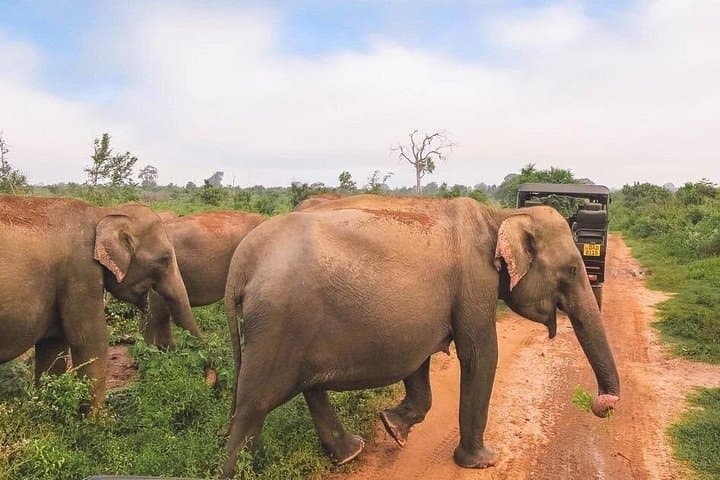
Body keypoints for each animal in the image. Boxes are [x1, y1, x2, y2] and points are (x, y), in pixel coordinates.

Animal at [0, 195, 199, 409]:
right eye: (165, 259)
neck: (103, 213)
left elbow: (54, 349)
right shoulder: (81, 273)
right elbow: (91, 342)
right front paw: (98, 417)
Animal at [221, 194, 620, 477]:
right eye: (572, 269)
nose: (602, 405)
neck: (500, 215)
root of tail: (241, 262)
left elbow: (419, 362)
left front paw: (393, 427)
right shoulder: (474, 282)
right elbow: (480, 355)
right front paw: (482, 462)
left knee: (305, 388)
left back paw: (351, 453)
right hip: (276, 322)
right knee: (252, 407)